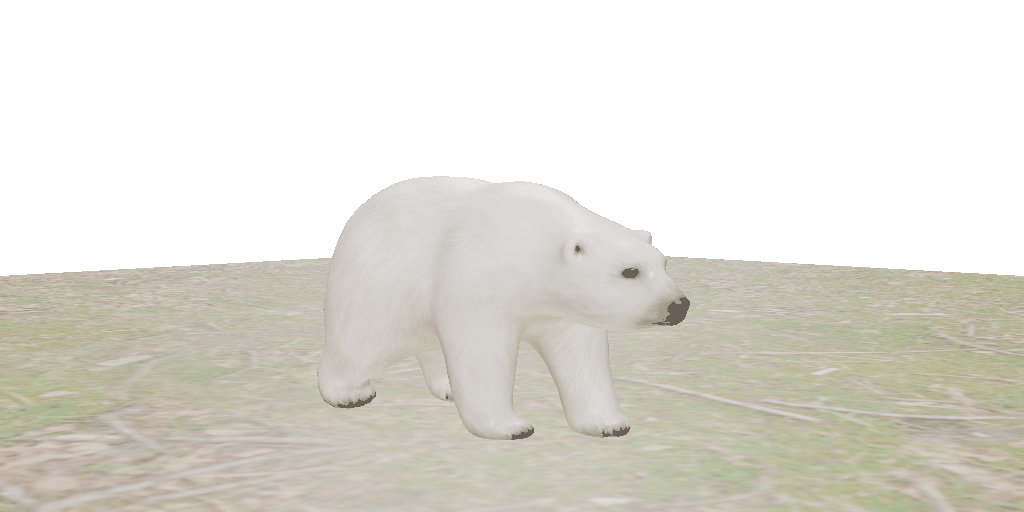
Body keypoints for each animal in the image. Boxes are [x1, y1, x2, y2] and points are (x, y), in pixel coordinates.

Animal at [318, 177, 689, 440]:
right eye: (630, 271)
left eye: (663, 264)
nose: (678, 305)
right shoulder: (479, 279)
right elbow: (482, 354)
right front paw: (512, 427)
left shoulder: (562, 309)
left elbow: (581, 357)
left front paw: (608, 423)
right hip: (378, 287)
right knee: (361, 341)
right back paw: (349, 393)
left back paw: (446, 387)